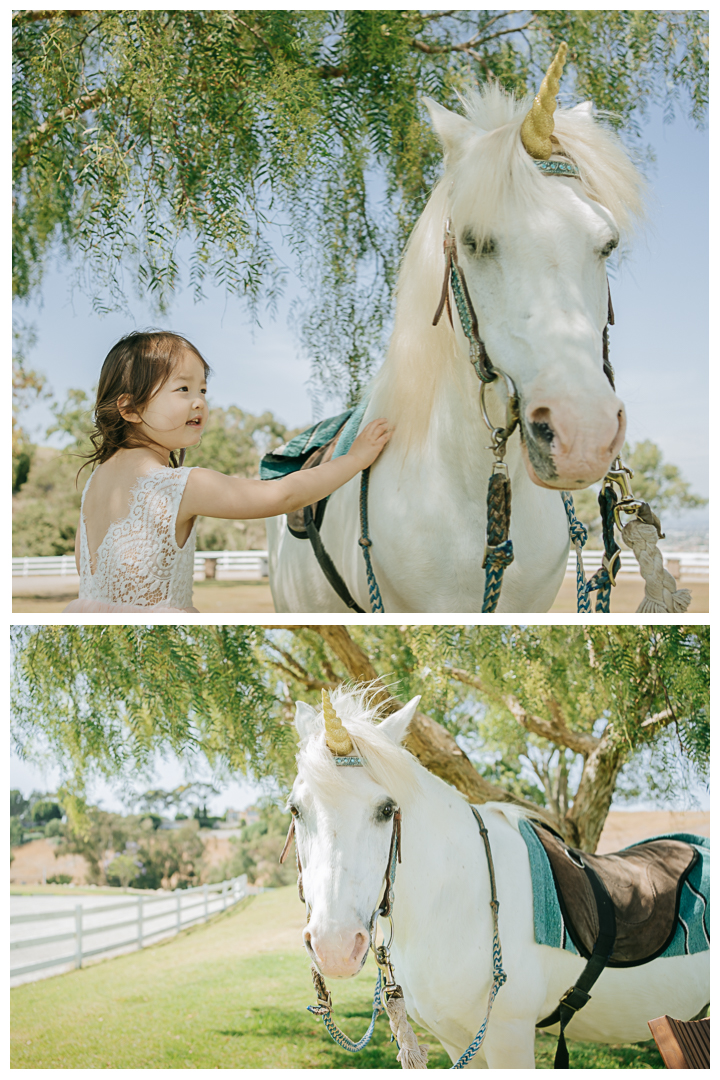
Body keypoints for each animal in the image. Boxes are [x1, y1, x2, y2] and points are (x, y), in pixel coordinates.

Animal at [291, 686, 708, 1067]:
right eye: (295, 809)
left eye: (386, 809)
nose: (334, 947)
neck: (457, 901)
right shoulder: (457, 1042)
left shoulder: (510, 1036)